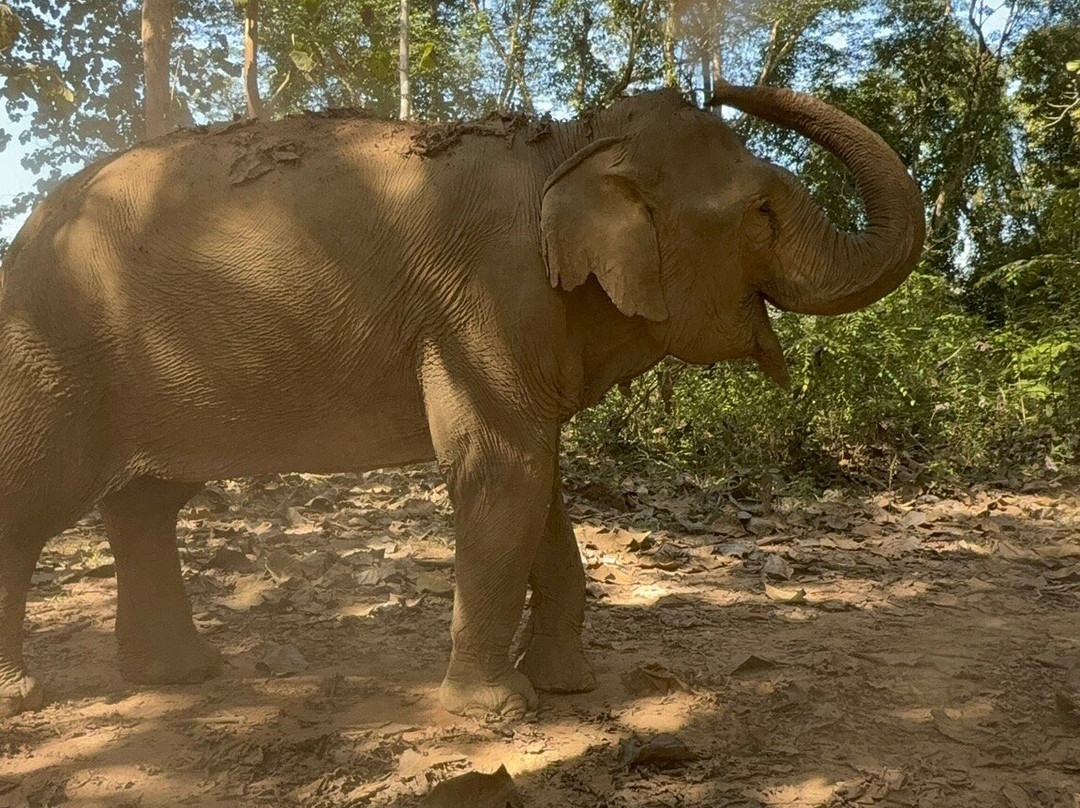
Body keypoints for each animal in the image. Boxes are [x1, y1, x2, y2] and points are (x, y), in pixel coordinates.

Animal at [0, 83, 924, 720]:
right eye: (761, 211)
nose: (729, 82)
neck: (572, 146)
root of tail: (28, 227)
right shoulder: (484, 293)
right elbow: (501, 470)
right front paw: (497, 713)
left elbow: (539, 483)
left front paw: (569, 687)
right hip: (53, 352)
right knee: (40, 495)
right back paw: (28, 698)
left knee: (145, 504)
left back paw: (178, 677)